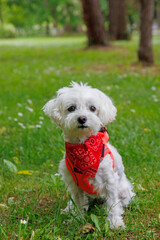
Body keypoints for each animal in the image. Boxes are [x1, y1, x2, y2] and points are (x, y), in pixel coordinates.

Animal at [43, 82, 135, 229]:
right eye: (71, 108)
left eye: (92, 108)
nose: (82, 118)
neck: (83, 147)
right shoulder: (75, 185)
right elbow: (79, 203)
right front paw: (77, 218)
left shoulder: (110, 181)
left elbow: (113, 205)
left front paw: (115, 223)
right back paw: (69, 209)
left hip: (124, 192)